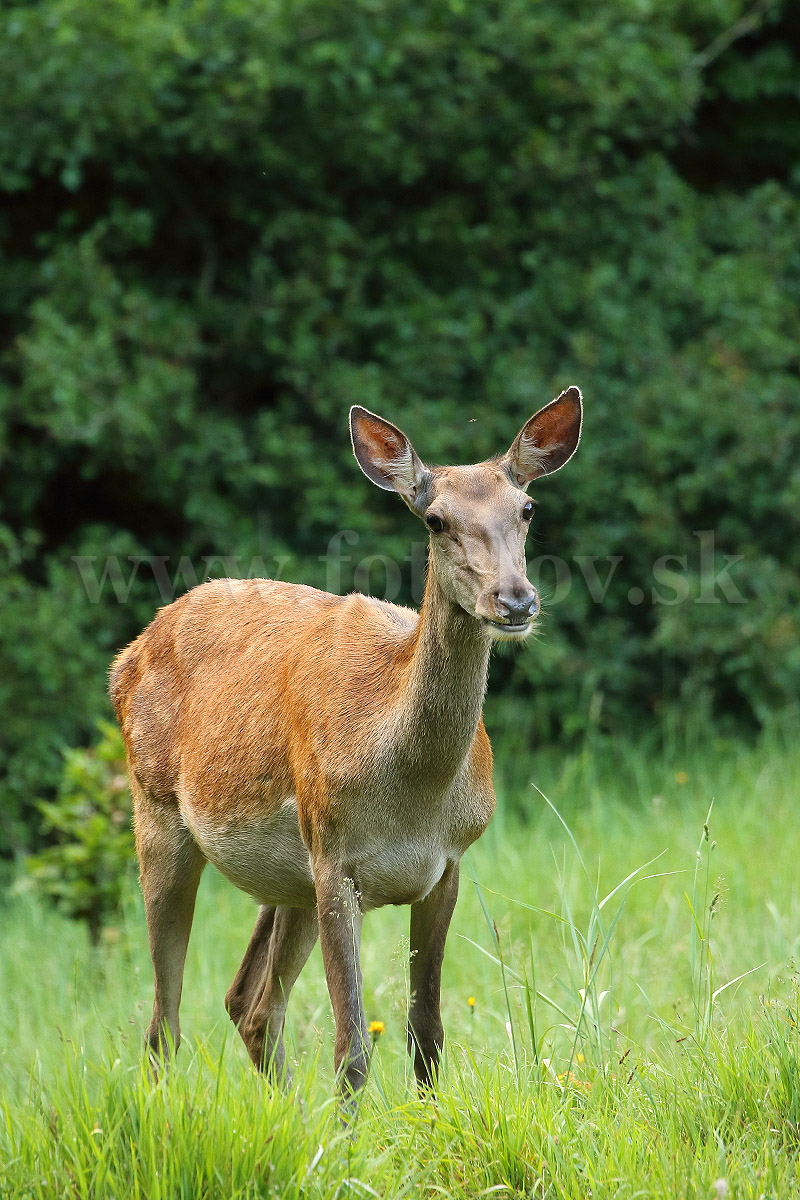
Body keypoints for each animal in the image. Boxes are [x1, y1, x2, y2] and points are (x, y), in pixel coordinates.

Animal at [109, 388, 582, 1099]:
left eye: (526, 508)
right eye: (435, 519)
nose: (516, 600)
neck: (412, 791)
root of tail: (126, 656)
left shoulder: (446, 866)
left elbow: (427, 1033)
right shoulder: (336, 863)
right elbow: (352, 1046)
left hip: (288, 878)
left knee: (250, 1002)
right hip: (160, 811)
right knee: (165, 1022)